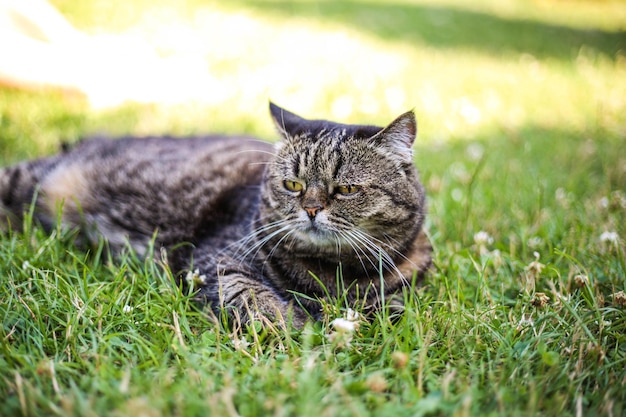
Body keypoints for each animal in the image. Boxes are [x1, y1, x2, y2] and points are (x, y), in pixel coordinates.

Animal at [0, 102, 428, 326]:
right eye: (292, 185)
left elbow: (393, 309)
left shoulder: (407, 293)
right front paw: (298, 330)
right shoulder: (218, 260)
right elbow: (259, 300)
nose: (310, 209)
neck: (334, 273)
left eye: (347, 189)